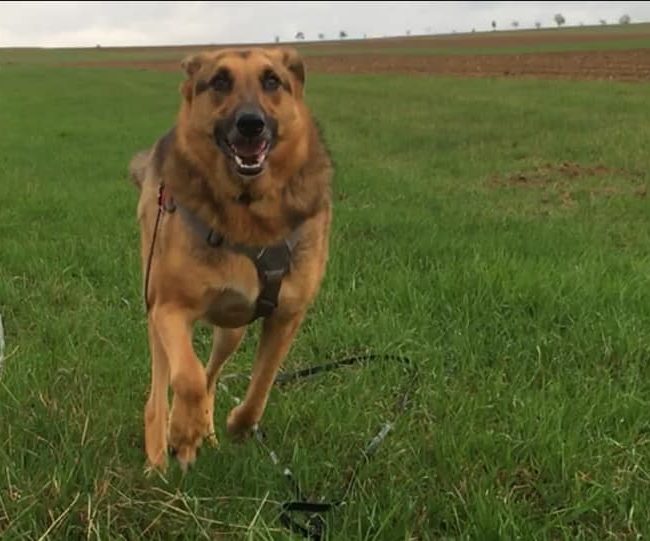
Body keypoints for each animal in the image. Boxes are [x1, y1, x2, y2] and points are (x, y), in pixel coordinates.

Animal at [127, 46, 333, 472]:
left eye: (272, 81)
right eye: (220, 81)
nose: (251, 124)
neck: (248, 212)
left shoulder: (286, 316)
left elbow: (262, 382)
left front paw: (236, 425)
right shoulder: (170, 309)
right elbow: (186, 377)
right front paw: (182, 432)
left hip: (232, 329)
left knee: (210, 375)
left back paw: (202, 432)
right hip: (155, 310)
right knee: (161, 390)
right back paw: (160, 453)